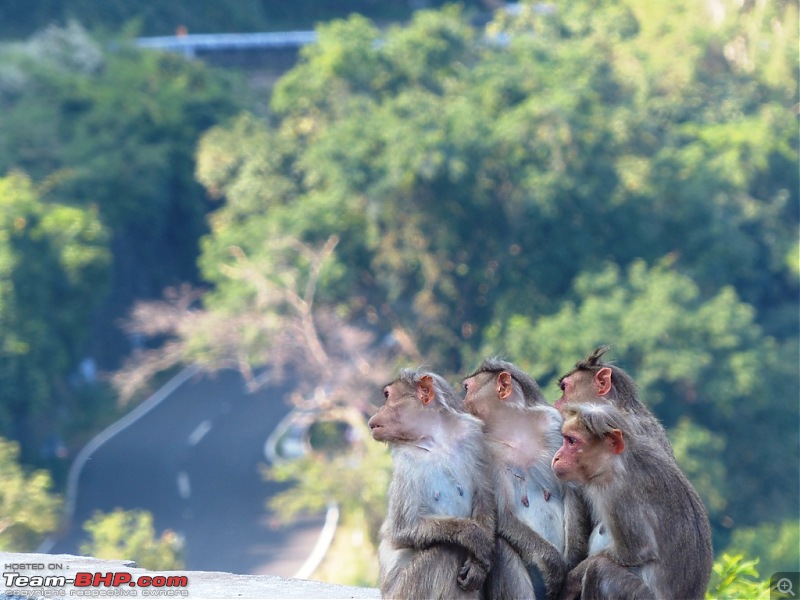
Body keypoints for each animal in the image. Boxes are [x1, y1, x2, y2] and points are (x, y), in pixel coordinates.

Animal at [368, 370, 494, 600]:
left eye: (387, 395)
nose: (374, 415)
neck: (435, 441)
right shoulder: (405, 461)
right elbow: (403, 528)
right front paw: (474, 536)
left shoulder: (473, 437)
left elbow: (484, 498)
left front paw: (478, 565)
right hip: (403, 592)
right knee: (444, 551)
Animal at [462, 358, 588, 596]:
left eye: (466, 389)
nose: (460, 403)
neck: (513, 430)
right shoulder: (484, 450)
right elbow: (503, 514)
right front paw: (553, 564)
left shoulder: (552, 424)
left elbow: (571, 490)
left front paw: (571, 561)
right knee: (503, 546)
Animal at [552, 400, 712, 600]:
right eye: (565, 438)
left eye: (572, 441)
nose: (557, 457)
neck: (617, 460)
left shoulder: (617, 492)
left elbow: (638, 550)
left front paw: (574, 577)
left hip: (637, 595)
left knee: (599, 568)